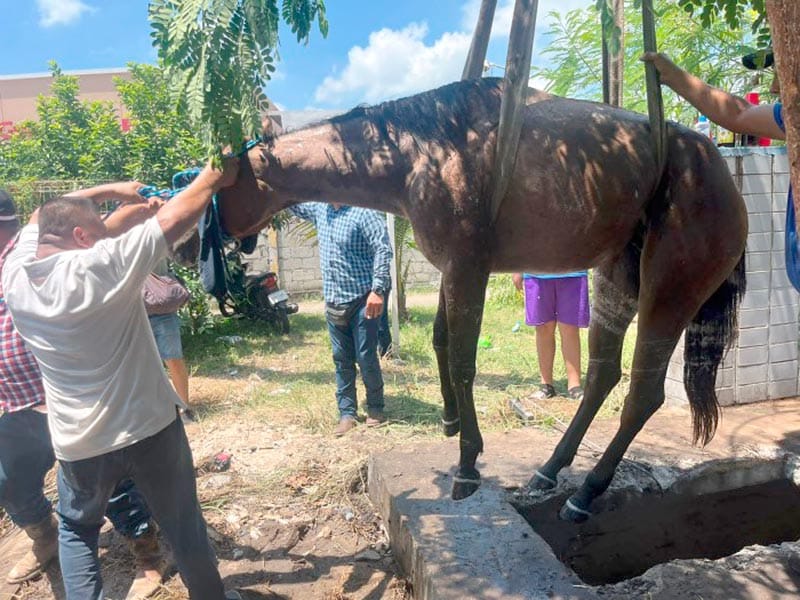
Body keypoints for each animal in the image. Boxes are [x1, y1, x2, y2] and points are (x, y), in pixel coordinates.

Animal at [216, 78, 748, 520]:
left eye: (221, 181)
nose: (214, 238)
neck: (422, 153)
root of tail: (721, 174)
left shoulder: (467, 268)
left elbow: (462, 362)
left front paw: (467, 464)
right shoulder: (454, 270)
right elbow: (440, 342)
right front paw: (451, 421)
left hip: (669, 295)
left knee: (643, 394)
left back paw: (585, 493)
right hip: (616, 282)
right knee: (602, 376)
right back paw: (550, 469)